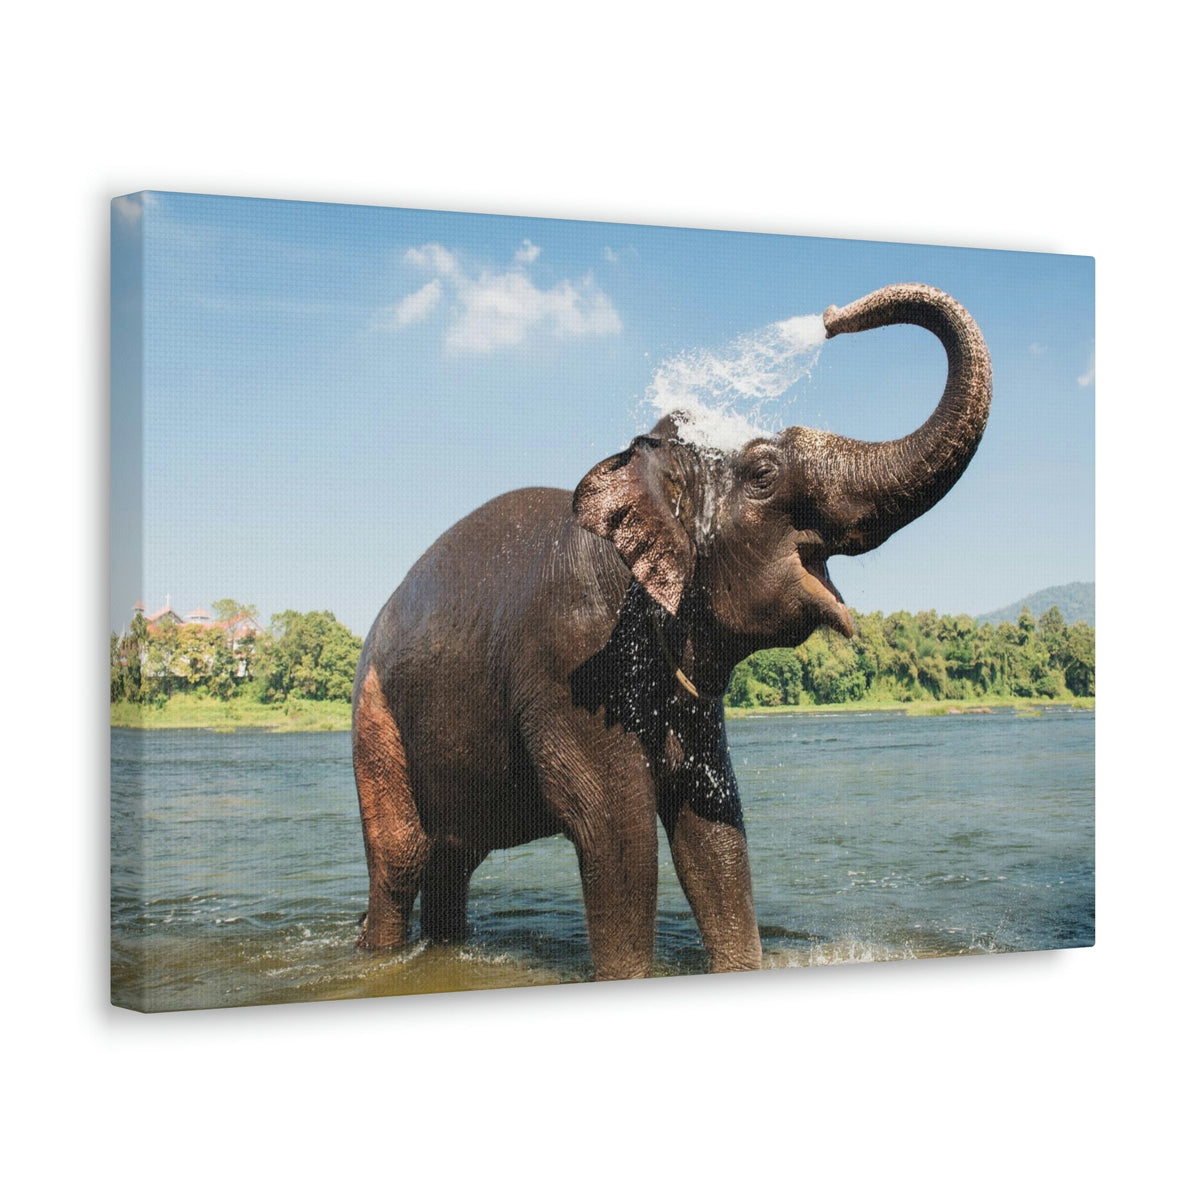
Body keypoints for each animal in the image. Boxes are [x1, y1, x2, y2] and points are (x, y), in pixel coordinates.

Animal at [352, 282, 991, 980]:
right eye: (763, 474)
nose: (829, 318)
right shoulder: (571, 660)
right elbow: (617, 831)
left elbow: (712, 825)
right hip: (374, 719)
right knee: (401, 860)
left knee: (452, 860)